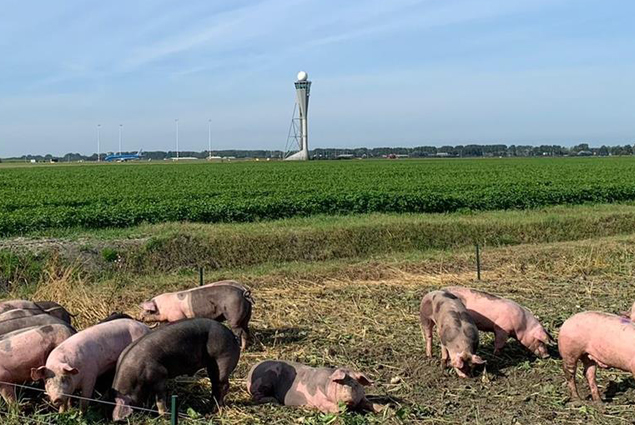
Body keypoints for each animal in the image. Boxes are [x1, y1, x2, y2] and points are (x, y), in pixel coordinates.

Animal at [110, 316, 240, 420]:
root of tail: (233, 337)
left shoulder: (160, 374)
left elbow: (160, 397)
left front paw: (164, 414)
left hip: (222, 358)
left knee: (223, 384)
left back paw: (214, 410)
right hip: (212, 365)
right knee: (215, 384)